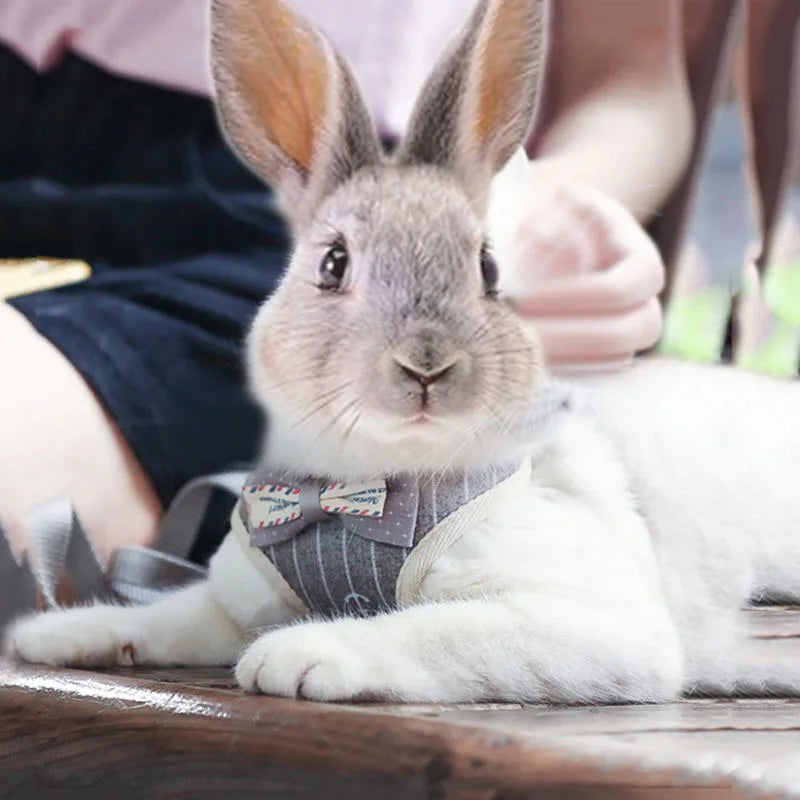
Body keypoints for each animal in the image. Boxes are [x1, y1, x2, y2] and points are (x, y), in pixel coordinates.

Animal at [7, 0, 800, 704]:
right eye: (333, 264)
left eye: (489, 268)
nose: (427, 366)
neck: (353, 496)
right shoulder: (235, 597)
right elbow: (175, 615)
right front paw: (60, 636)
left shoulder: (586, 620)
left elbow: (431, 631)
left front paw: (298, 656)